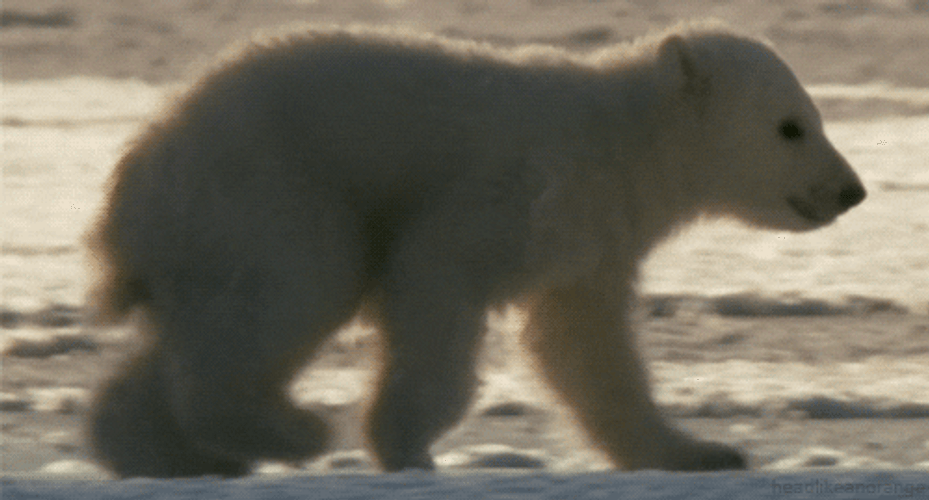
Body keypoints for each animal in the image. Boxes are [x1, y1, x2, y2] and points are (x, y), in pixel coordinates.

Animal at [85, 20, 866, 478]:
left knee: (208, 326)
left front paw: (702, 451)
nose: (850, 191)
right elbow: (437, 277)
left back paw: (166, 454)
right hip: (270, 188)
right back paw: (289, 432)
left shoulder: (593, 240)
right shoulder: (522, 190)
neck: (621, 139)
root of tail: (134, 182)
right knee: (288, 290)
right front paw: (405, 445)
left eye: (814, 116)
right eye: (791, 127)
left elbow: (588, 350)